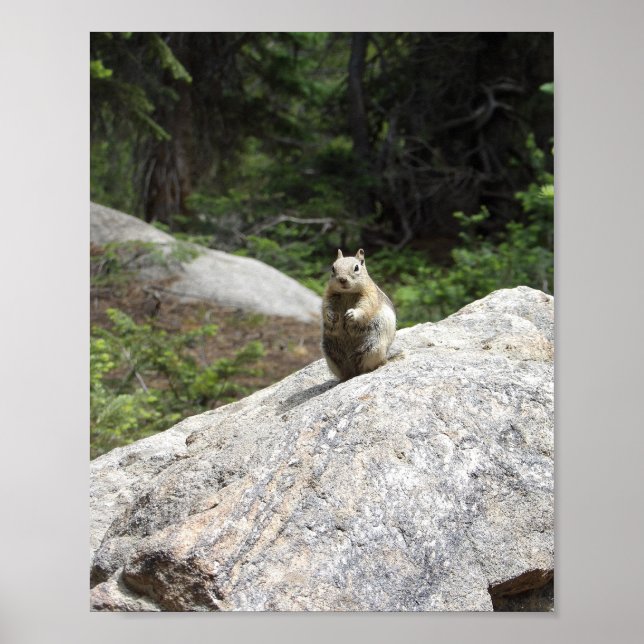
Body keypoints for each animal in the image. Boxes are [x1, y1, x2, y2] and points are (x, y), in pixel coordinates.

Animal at [321, 249, 396, 381]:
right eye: (333, 268)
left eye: (356, 267)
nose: (342, 279)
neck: (347, 293)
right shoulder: (328, 295)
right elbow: (326, 307)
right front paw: (330, 316)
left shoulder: (369, 295)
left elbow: (365, 307)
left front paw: (352, 314)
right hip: (331, 354)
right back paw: (344, 378)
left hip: (373, 347)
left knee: (370, 365)